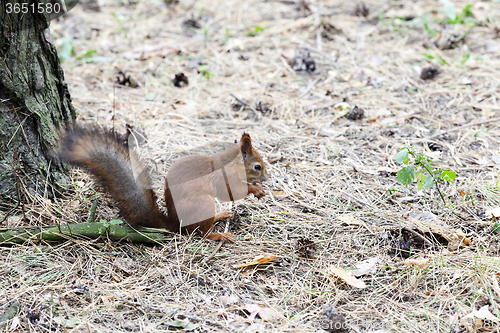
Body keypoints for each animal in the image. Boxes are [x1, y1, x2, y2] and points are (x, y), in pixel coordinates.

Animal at [59, 124, 270, 241]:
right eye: (257, 166)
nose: (267, 178)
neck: (230, 163)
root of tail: (175, 224)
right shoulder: (222, 178)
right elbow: (231, 192)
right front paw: (255, 189)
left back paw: (220, 215)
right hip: (202, 204)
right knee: (198, 233)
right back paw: (217, 235)